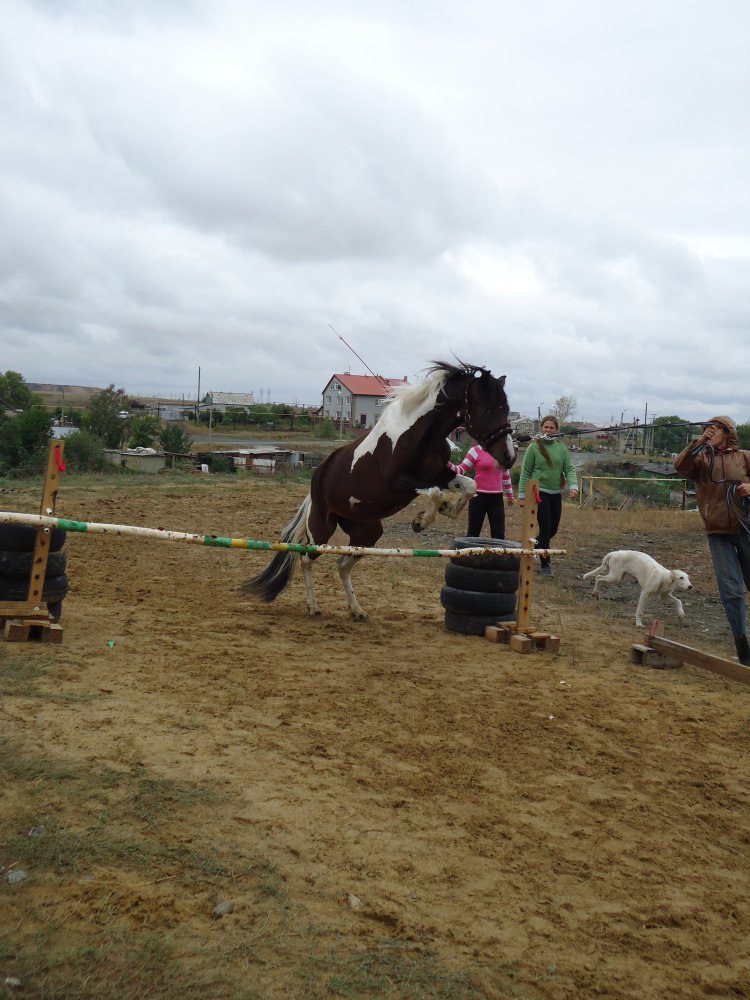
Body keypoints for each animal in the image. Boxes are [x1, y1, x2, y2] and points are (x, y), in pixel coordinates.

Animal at [241, 364, 516, 620]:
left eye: (505, 408)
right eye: (487, 409)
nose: (509, 456)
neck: (420, 433)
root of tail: (316, 481)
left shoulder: (439, 474)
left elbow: (468, 486)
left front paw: (447, 510)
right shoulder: (400, 480)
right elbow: (435, 493)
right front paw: (421, 522)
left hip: (367, 531)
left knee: (342, 564)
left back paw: (356, 610)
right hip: (321, 530)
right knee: (306, 558)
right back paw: (313, 607)